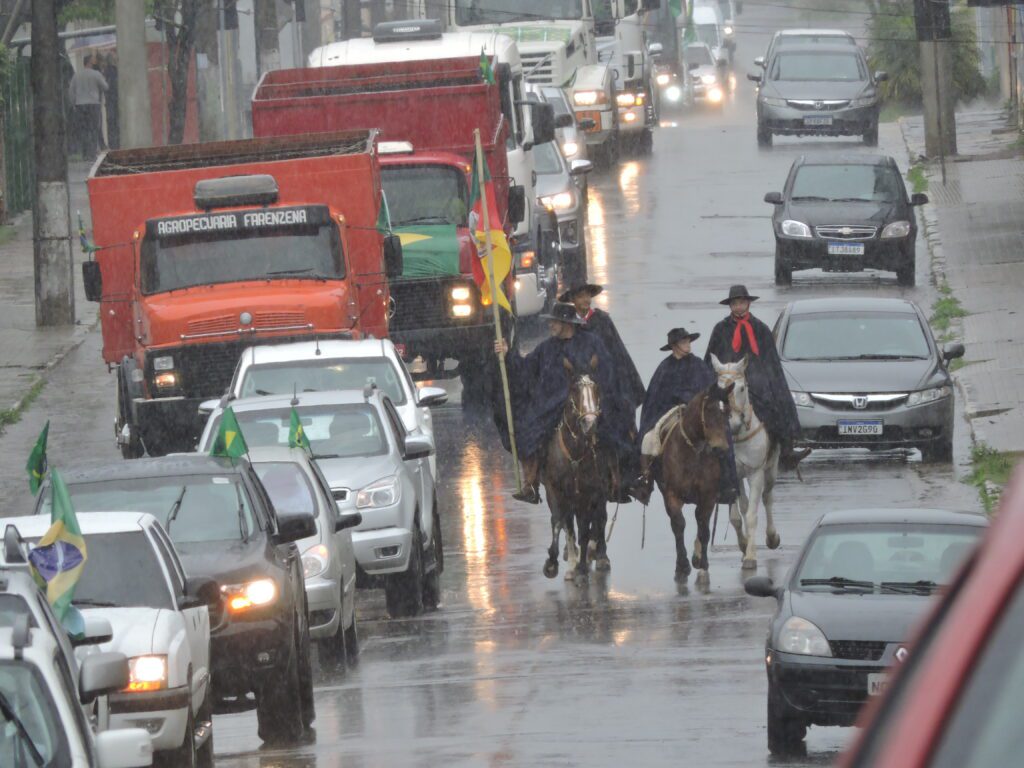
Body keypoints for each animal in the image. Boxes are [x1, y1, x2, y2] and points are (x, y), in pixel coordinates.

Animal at [540, 358, 610, 585]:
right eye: (574, 392)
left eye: (596, 389)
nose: (590, 423)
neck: (574, 454)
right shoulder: (555, 490)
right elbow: (558, 522)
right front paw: (553, 563)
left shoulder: (587, 495)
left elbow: (585, 530)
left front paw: (581, 569)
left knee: (600, 519)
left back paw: (599, 556)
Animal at [655, 385, 737, 581]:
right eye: (708, 410)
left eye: (728, 413)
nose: (721, 449)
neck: (692, 452)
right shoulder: (672, 494)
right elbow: (679, 524)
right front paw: (682, 565)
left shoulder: (708, 496)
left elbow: (704, 528)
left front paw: (702, 562)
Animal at [708, 358, 778, 569]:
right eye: (717, 388)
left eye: (741, 388)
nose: (731, 423)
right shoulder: (730, 476)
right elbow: (736, 517)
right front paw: (744, 545)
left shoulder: (756, 473)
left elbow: (752, 515)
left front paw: (750, 557)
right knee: (745, 505)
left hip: (771, 471)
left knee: (767, 498)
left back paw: (772, 538)